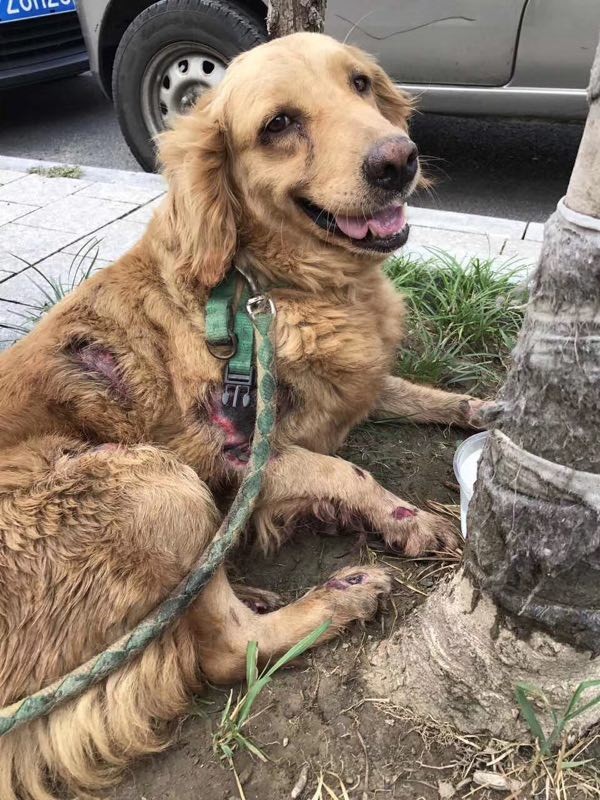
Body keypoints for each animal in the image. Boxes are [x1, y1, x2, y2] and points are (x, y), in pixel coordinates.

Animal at [0, 31, 486, 800]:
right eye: (279, 125)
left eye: (359, 84)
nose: (399, 160)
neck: (268, 284)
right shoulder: (227, 458)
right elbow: (347, 472)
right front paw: (407, 520)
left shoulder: (348, 390)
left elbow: (408, 391)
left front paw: (480, 406)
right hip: (154, 483)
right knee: (224, 651)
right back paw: (337, 598)